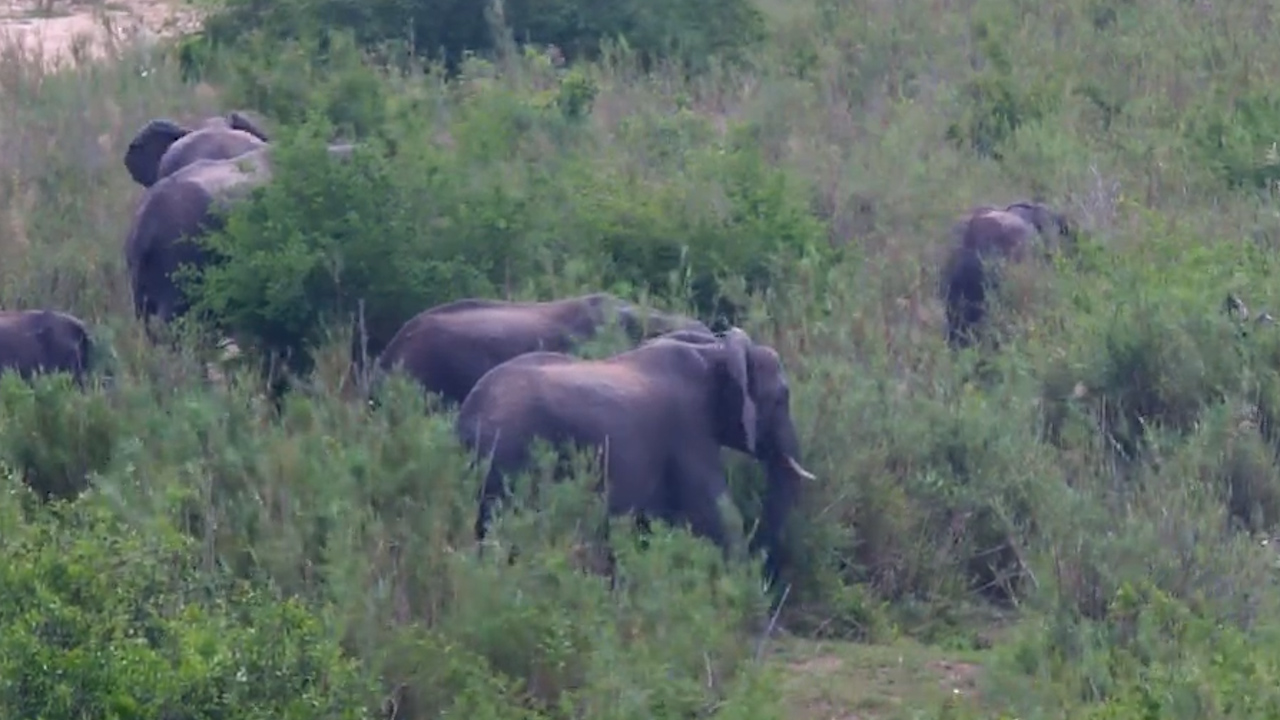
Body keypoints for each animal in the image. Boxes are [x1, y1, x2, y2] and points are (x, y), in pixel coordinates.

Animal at [455, 326, 817, 589]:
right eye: (782, 398)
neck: (713, 349)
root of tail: (467, 415)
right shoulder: (687, 430)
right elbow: (717, 513)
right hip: (510, 454)